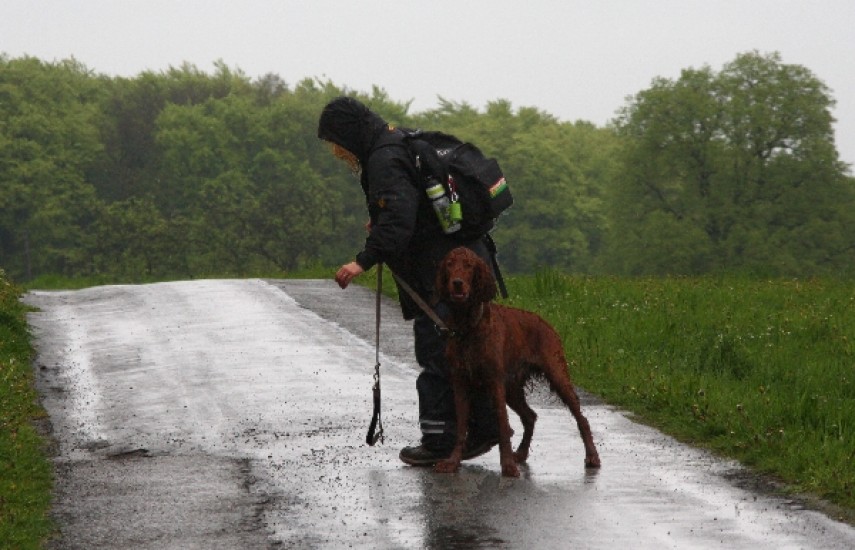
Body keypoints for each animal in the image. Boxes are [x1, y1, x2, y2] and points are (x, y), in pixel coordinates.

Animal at [432, 247, 601, 477]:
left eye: (468, 265)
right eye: (449, 264)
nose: (457, 283)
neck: (468, 327)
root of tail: (546, 323)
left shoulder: (495, 382)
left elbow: (503, 426)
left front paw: (507, 466)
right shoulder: (460, 382)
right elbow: (460, 428)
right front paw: (452, 461)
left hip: (556, 374)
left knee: (581, 418)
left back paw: (592, 456)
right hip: (512, 387)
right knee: (530, 416)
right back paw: (520, 453)